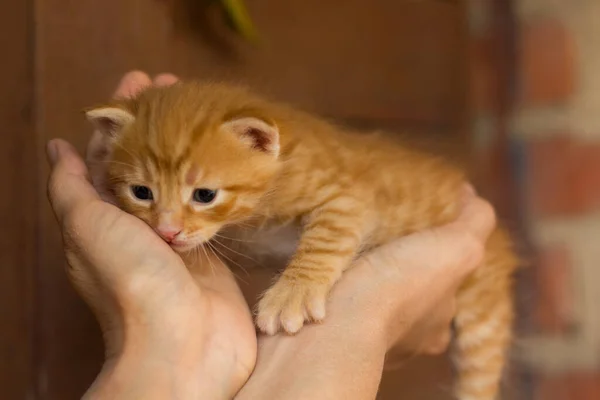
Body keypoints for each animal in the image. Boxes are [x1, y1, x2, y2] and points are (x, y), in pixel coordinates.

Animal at [85, 82, 520, 400]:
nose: (167, 232)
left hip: (481, 317)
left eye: (205, 195)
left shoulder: (349, 197)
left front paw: (291, 295)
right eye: (142, 193)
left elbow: (324, 240)